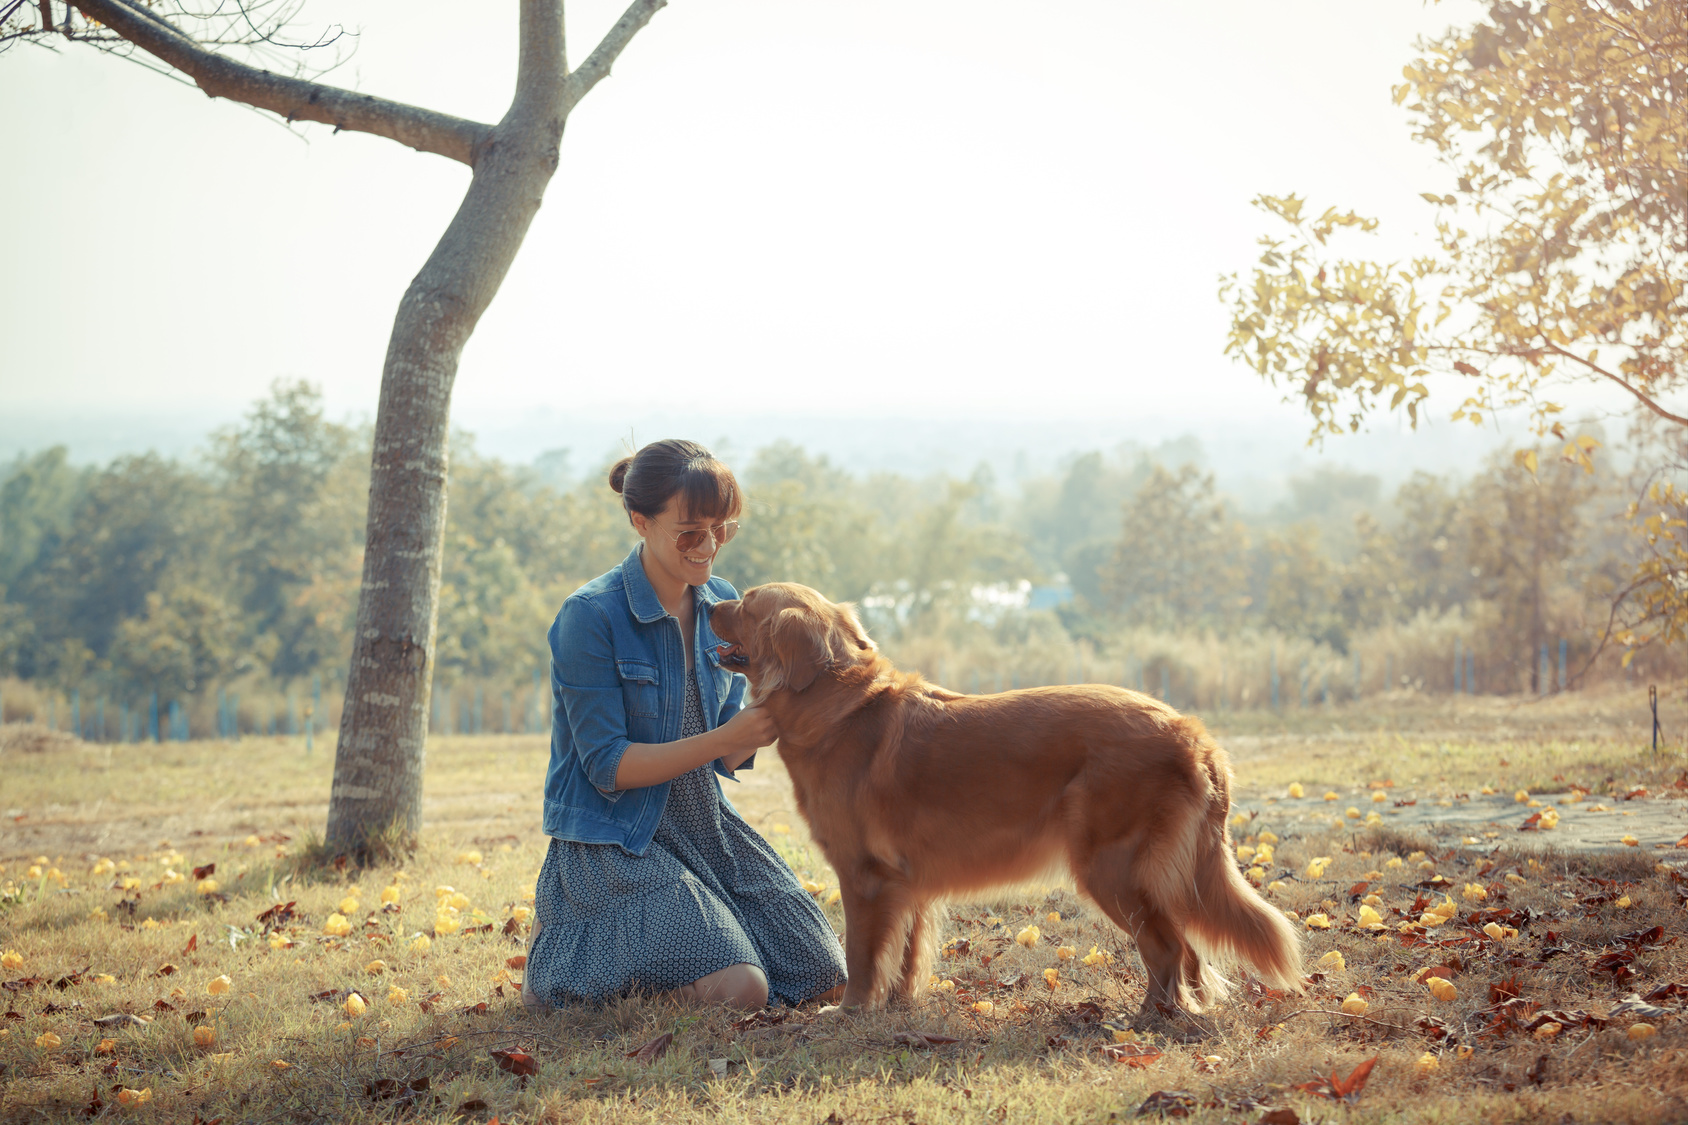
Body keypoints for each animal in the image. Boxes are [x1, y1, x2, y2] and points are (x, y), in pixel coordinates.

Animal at [705, 581, 1296, 1020]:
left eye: (747, 603)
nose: (708, 604)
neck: (835, 704)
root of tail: (1191, 732)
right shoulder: (906, 884)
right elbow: (906, 956)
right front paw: (896, 1007)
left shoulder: (863, 875)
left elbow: (862, 955)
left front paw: (849, 1012)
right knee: (1184, 950)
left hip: (1112, 869)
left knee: (1170, 948)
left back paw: (1148, 1018)